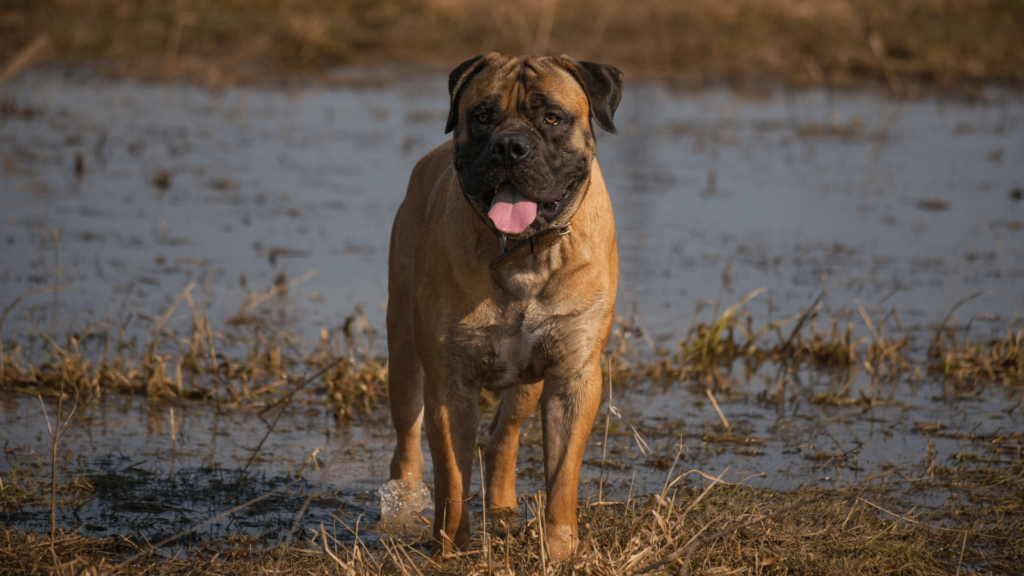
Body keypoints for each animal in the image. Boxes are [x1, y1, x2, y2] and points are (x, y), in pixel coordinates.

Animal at [385, 52, 618, 557]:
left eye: (552, 118)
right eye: (482, 116)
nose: (509, 147)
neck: (523, 255)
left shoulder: (573, 376)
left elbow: (563, 474)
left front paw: (560, 547)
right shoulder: (448, 382)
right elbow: (452, 475)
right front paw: (451, 547)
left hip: (527, 383)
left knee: (502, 439)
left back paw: (503, 508)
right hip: (404, 358)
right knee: (407, 445)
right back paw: (403, 509)